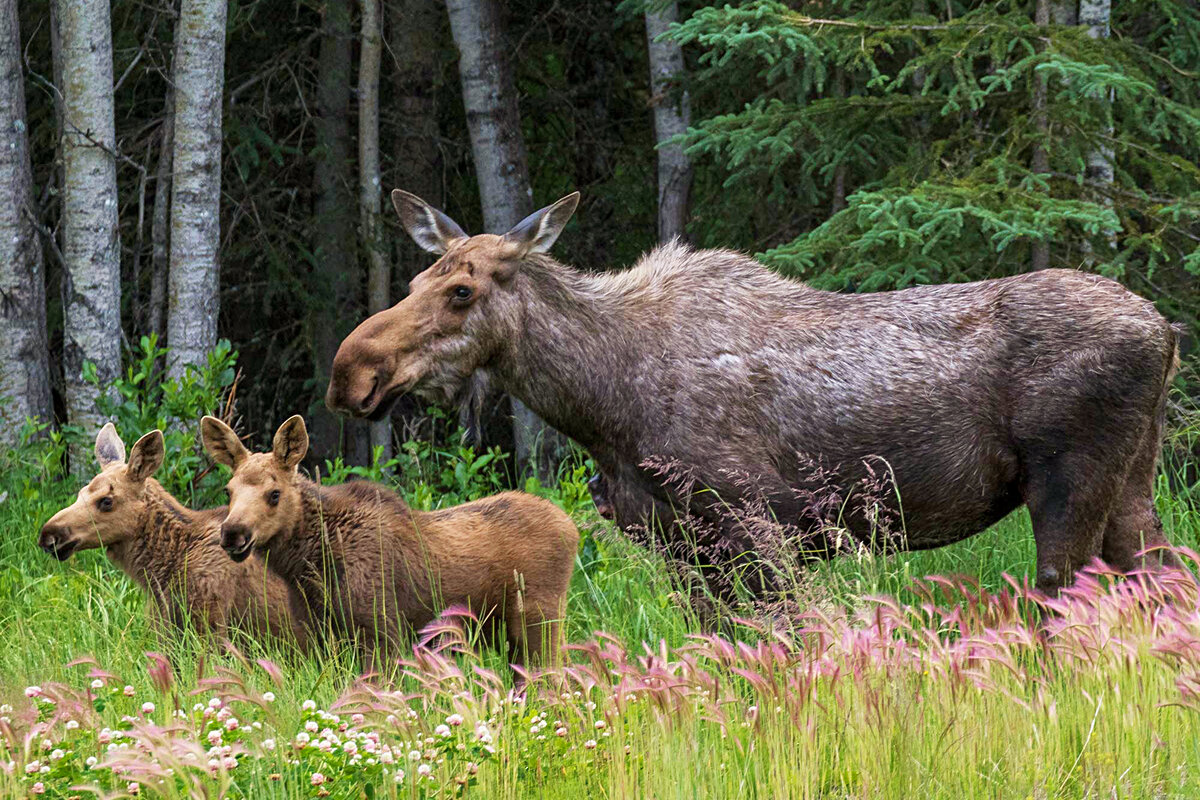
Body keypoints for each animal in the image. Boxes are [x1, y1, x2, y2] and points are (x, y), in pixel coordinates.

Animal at [202, 417, 580, 671]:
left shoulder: (381, 630)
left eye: (274, 493)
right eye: (229, 490)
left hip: (539, 620)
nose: (233, 533)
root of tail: (573, 528)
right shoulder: (320, 636)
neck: (307, 569)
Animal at [326, 190, 1180, 597]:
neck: (599, 403)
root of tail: (1167, 331)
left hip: (1069, 481)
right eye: (417, 279)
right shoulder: (676, 541)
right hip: (1134, 484)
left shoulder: (753, 518)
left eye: (462, 290)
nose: (350, 372)